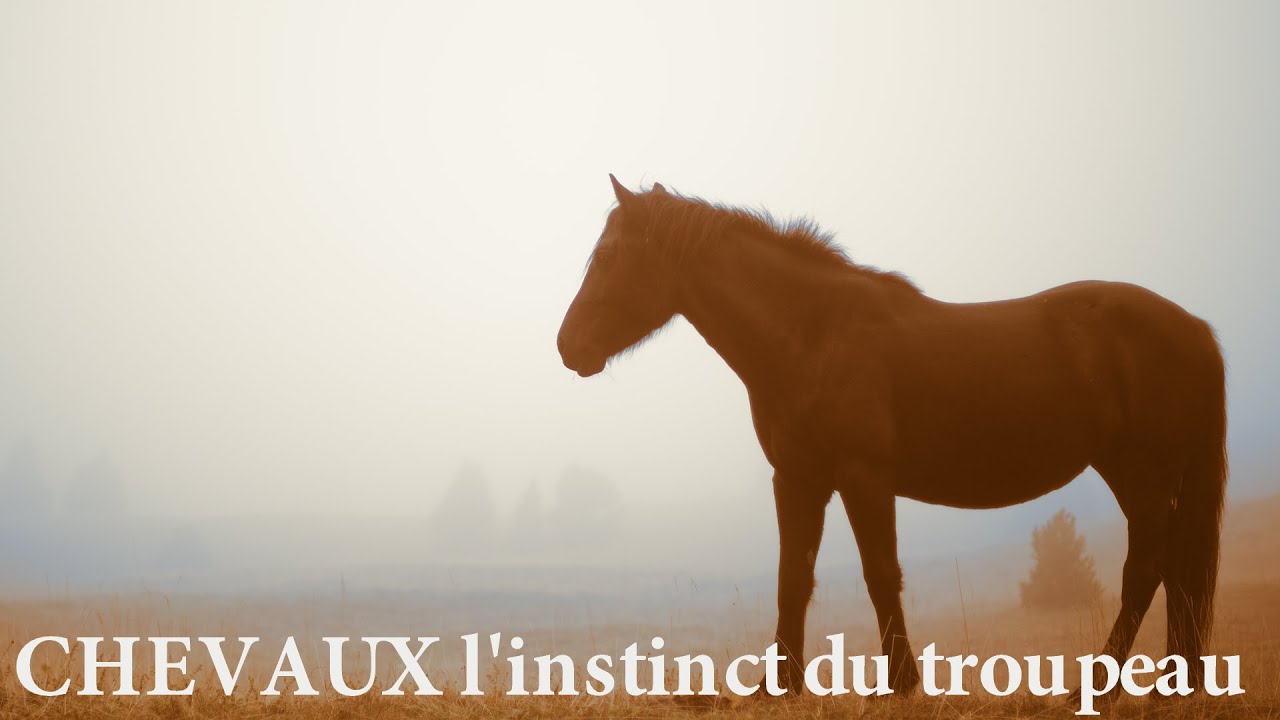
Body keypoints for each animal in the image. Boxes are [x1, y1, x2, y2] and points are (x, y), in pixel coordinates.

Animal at [556, 175, 1227, 694]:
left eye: (609, 256)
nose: (568, 346)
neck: (813, 335)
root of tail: (1193, 327)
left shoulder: (864, 477)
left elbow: (881, 575)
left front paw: (901, 682)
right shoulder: (797, 479)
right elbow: (792, 579)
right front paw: (780, 685)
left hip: (1141, 473)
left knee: (1147, 565)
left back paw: (1100, 686)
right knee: (1172, 566)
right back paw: (1171, 684)